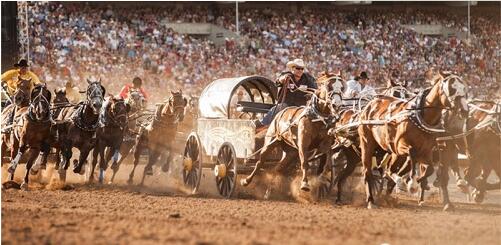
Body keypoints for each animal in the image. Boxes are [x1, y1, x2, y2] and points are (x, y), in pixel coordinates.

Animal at [358, 73, 466, 210]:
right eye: (451, 89)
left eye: (464, 88)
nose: (464, 110)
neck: (422, 117)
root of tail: (370, 104)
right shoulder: (401, 147)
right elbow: (412, 155)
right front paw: (411, 184)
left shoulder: (427, 151)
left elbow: (430, 169)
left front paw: (416, 182)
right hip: (367, 143)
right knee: (368, 172)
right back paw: (371, 201)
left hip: (394, 153)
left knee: (390, 169)